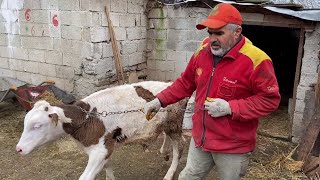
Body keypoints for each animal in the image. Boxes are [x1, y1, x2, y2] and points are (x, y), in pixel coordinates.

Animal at [15, 81, 188, 180]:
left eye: (37, 125)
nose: (19, 149)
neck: (87, 117)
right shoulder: (106, 146)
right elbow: (108, 168)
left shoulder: (100, 150)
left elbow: (86, 177)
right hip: (165, 123)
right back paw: (164, 151)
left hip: (174, 124)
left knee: (180, 146)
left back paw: (169, 174)